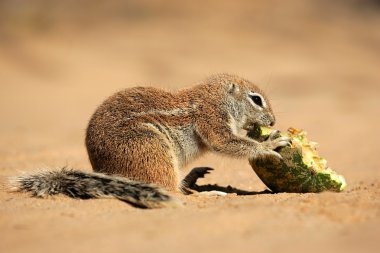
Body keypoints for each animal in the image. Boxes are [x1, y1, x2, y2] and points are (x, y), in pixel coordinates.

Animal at [11, 73, 290, 208]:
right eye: (256, 99)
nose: (273, 121)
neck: (216, 97)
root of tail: (105, 171)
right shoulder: (212, 118)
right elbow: (228, 143)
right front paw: (269, 145)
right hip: (151, 148)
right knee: (174, 192)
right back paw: (209, 194)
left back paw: (192, 179)